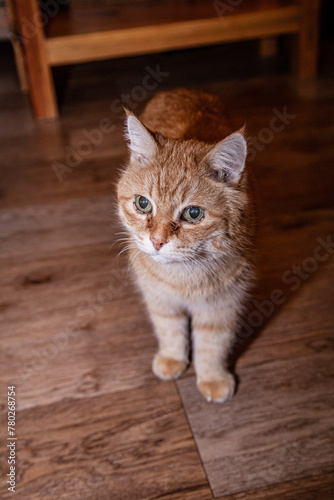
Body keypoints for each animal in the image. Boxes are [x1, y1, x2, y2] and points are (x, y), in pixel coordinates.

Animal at [116, 89, 254, 402]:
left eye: (193, 214)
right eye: (143, 204)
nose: (157, 241)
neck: (182, 276)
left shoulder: (222, 304)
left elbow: (212, 345)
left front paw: (213, 378)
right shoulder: (159, 298)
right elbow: (169, 330)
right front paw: (172, 359)